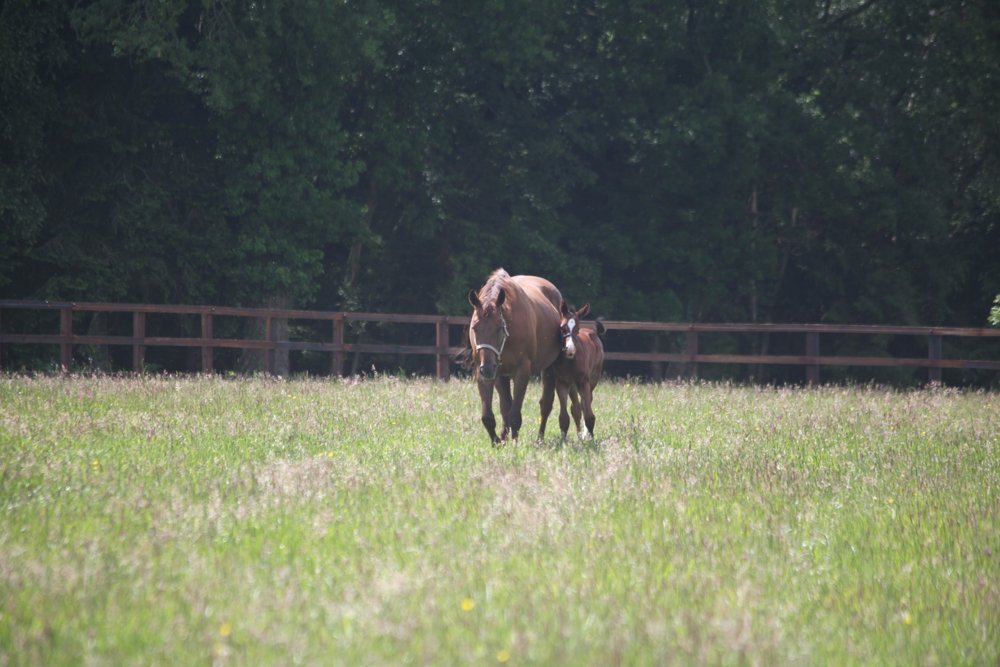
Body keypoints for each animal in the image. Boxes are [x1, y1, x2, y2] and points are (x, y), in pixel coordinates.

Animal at [468, 268, 564, 443]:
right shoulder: (488, 373)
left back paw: (539, 438)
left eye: (499, 327)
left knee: (546, 404)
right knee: (506, 406)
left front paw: (514, 442)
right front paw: (498, 441)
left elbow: (514, 414)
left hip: (549, 368)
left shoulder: (522, 371)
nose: (488, 369)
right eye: (475, 327)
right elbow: (491, 415)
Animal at [538, 301, 606, 441]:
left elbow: (589, 415)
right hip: (573, 386)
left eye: (577, 328)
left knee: (585, 404)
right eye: (562, 327)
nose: (570, 349)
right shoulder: (562, 383)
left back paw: (584, 434)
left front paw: (590, 439)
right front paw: (564, 441)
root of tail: (593, 331)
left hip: (592, 380)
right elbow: (564, 417)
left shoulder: (583, 382)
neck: (570, 361)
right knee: (577, 408)